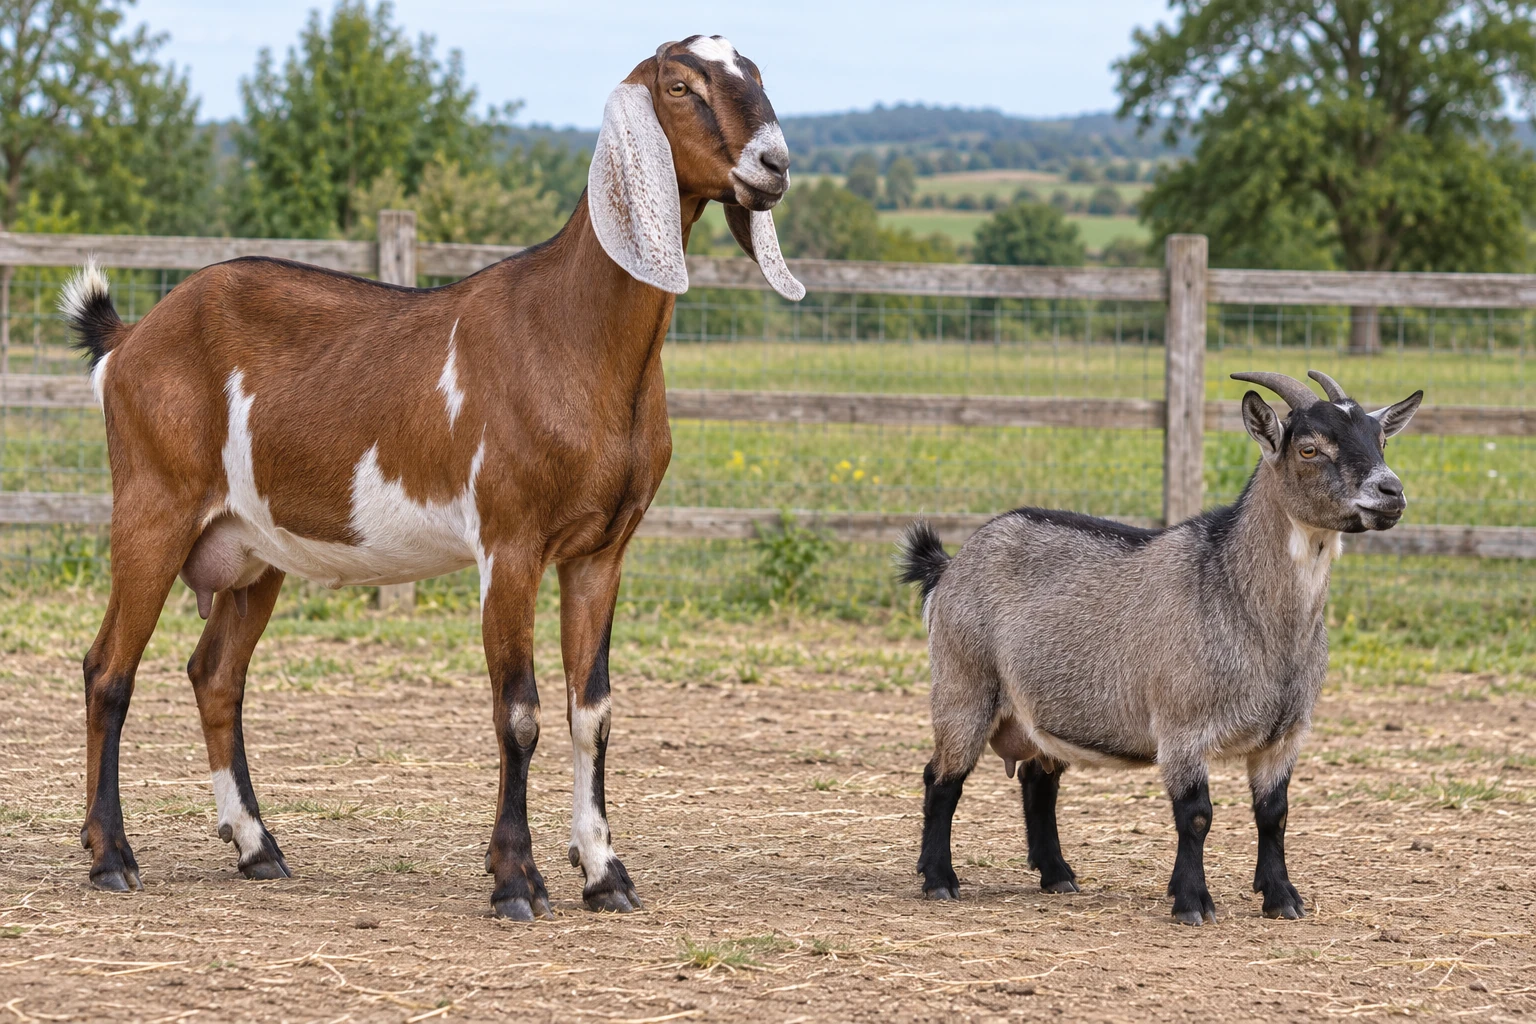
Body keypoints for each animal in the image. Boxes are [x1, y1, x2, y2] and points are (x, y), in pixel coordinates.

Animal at [60, 36, 804, 921]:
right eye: (683, 86)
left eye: (757, 76)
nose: (774, 164)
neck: (570, 332)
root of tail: (131, 337)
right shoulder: (509, 543)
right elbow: (518, 712)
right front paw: (516, 879)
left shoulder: (602, 552)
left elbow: (592, 712)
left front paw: (605, 873)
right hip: (153, 506)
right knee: (109, 670)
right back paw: (111, 856)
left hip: (252, 549)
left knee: (215, 675)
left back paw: (256, 846)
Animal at [897, 371, 1422, 925]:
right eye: (1308, 448)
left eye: (1381, 440)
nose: (1391, 491)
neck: (1242, 600)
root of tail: (949, 566)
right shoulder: (1182, 727)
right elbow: (1196, 816)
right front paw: (1192, 903)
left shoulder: (1285, 735)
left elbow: (1274, 815)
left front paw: (1282, 899)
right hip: (963, 684)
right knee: (942, 779)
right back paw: (939, 880)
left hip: (1035, 711)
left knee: (1040, 783)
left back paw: (1057, 875)